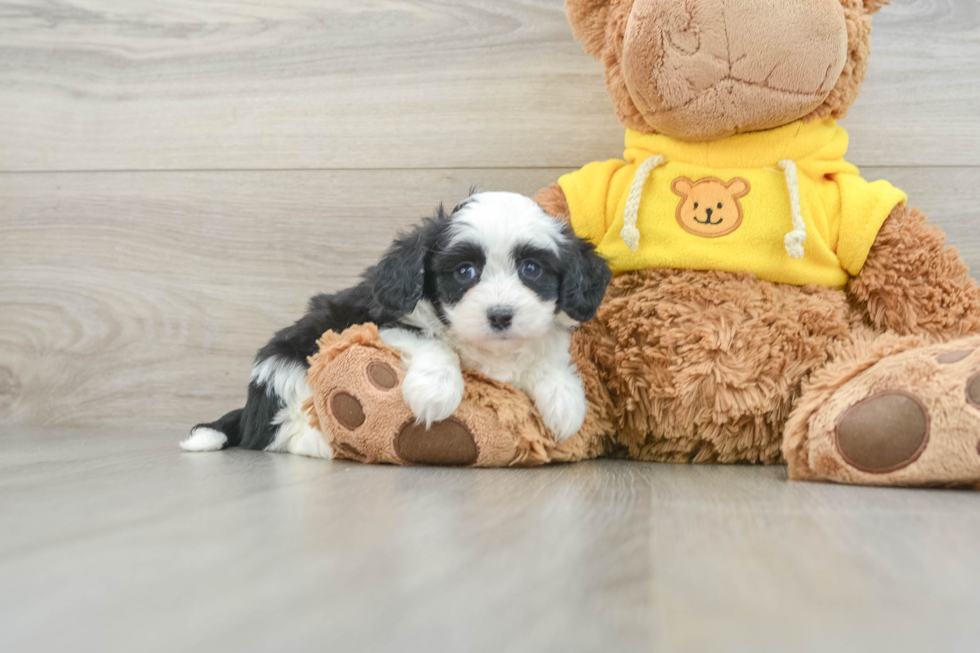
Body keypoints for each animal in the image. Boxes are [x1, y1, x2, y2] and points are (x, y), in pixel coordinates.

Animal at [181, 191, 608, 458]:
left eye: (532, 269)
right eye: (465, 271)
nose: (500, 315)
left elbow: (547, 356)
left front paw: (565, 399)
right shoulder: (375, 322)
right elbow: (431, 341)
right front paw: (437, 391)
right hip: (287, 366)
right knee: (278, 430)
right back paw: (321, 444)